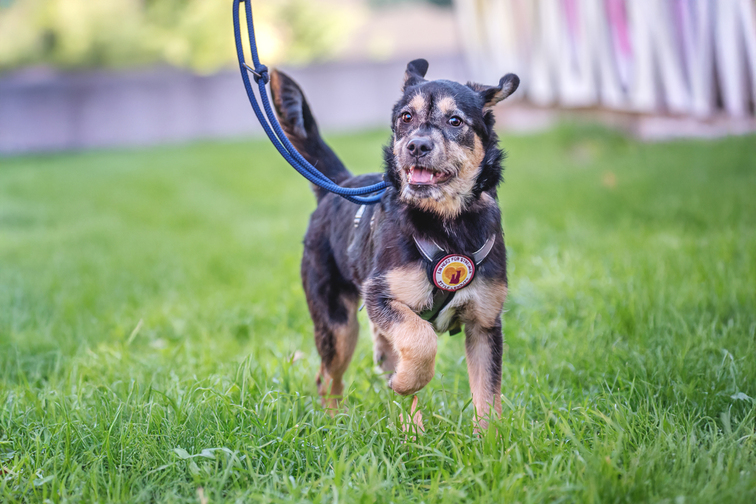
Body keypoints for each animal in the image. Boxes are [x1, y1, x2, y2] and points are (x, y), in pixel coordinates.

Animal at [269, 59, 519, 430]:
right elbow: (421, 339)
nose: (416, 146)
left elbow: (488, 397)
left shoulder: (485, 323)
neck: (445, 223)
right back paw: (336, 422)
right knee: (327, 378)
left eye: (455, 121)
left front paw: (489, 441)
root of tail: (338, 186)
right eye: (406, 116)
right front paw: (405, 380)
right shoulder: (382, 296)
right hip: (337, 326)